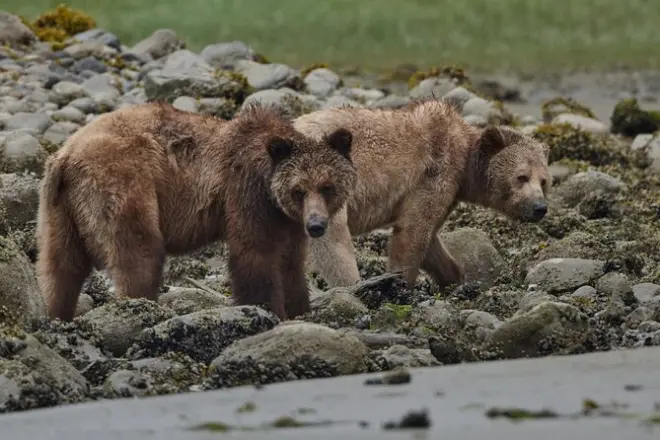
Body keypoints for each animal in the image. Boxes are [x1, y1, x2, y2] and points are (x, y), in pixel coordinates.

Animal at [35, 101, 357, 322]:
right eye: (298, 190)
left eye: (327, 187)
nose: (316, 225)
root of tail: (67, 153)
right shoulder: (246, 192)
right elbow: (255, 253)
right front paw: (267, 308)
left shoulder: (287, 220)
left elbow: (290, 262)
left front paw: (299, 309)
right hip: (123, 181)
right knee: (138, 252)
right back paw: (139, 306)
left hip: (61, 207)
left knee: (61, 265)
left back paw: (55, 313)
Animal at [292, 97, 552, 290]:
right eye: (522, 177)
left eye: (544, 181)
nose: (540, 208)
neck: (465, 165)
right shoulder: (435, 172)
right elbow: (412, 233)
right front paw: (401, 283)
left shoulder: (447, 191)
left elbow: (431, 241)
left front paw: (455, 279)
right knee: (333, 237)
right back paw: (352, 286)